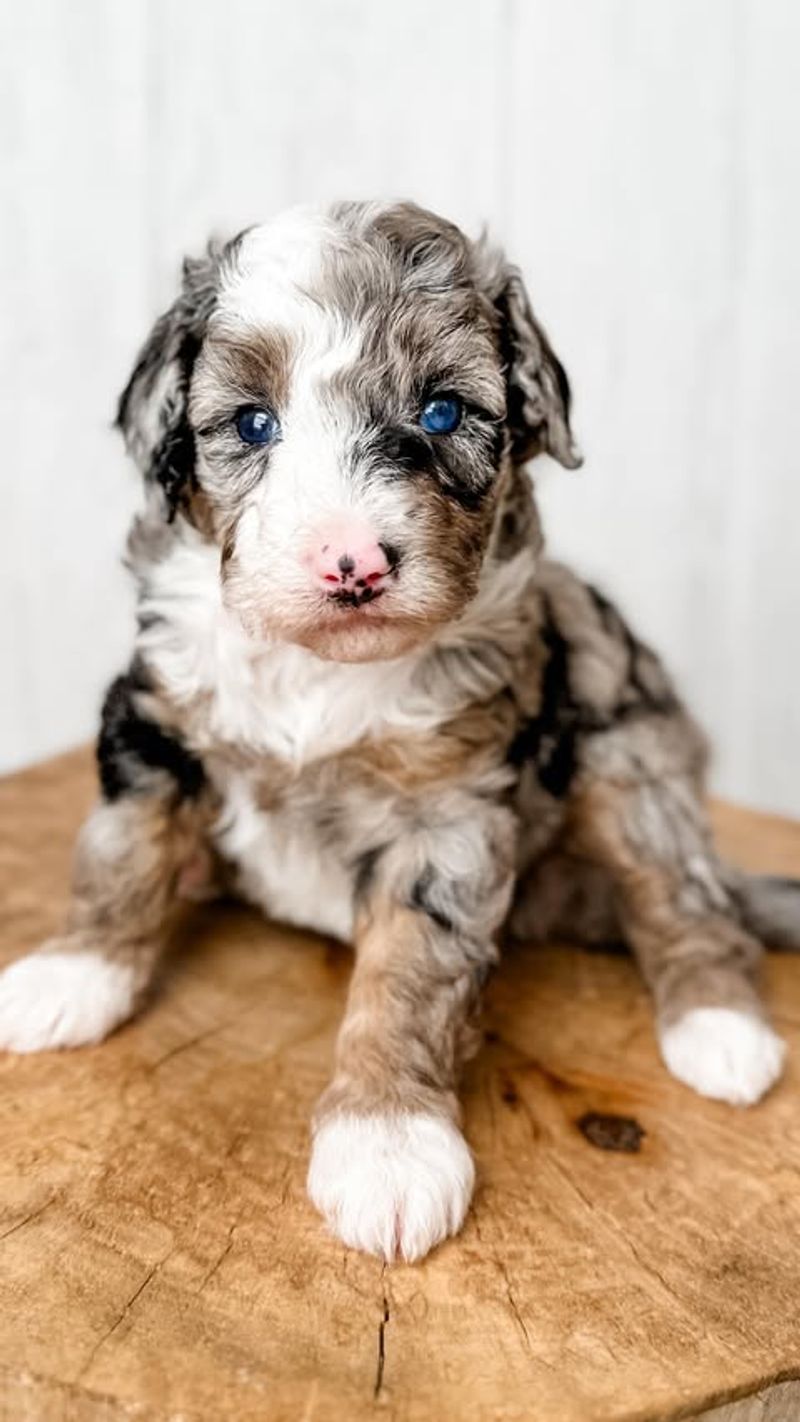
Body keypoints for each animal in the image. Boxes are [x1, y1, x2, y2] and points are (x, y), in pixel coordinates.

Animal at [3, 203, 795, 1268]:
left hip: (630, 751)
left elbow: (408, 976)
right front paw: (72, 974)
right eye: (253, 424)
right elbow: (119, 857)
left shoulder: (445, 815)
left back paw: (722, 1035)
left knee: (684, 898)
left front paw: (387, 1147)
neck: (319, 674)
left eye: (443, 414)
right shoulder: (154, 723)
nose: (353, 564)